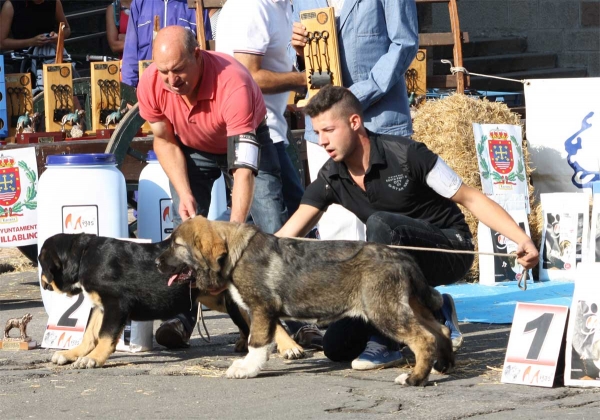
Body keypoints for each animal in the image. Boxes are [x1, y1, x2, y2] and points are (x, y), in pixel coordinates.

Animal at [157, 215, 452, 386]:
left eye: (175, 245)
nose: (157, 263)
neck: (235, 253)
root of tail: (401, 256)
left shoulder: (261, 308)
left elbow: (257, 342)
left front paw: (247, 369)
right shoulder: (266, 312)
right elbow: (267, 338)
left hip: (384, 310)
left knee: (424, 339)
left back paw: (414, 378)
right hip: (409, 305)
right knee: (441, 330)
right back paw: (444, 366)